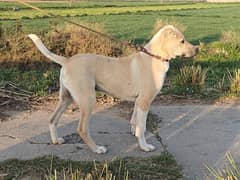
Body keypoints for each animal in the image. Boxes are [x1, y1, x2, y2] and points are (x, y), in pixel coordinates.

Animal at [28, 25, 197, 154]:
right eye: (182, 41)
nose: (197, 49)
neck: (155, 57)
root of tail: (67, 60)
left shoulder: (138, 102)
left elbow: (135, 121)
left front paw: (134, 134)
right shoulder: (144, 102)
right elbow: (142, 127)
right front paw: (144, 147)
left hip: (66, 98)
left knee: (52, 119)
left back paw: (56, 140)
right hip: (88, 101)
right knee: (82, 129)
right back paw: (97, 149)